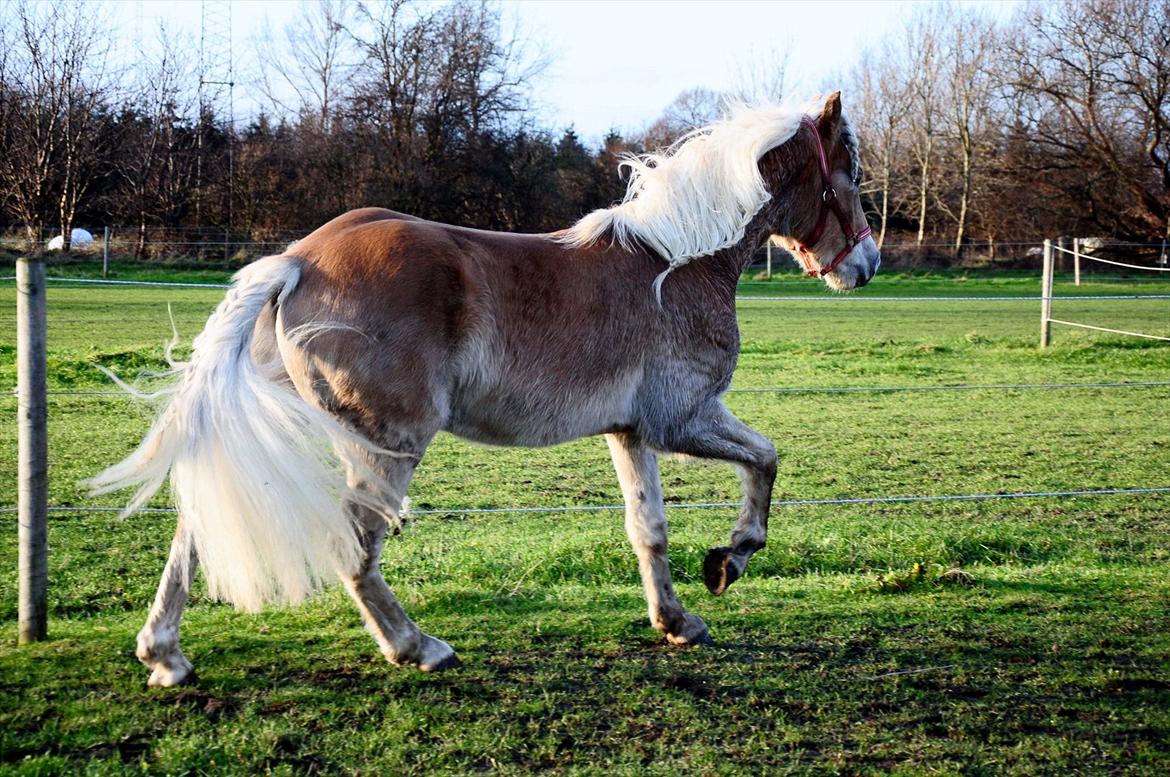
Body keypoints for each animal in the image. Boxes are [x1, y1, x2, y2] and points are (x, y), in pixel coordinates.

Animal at [91, 92, 879, 688]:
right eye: (850, 173)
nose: (866, 265)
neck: (675, 263)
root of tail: (296, 261)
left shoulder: (630, 432)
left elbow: (648, 528)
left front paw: (677, 620)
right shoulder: (683, 418)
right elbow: (766, 459)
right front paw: (731, 558)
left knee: (201, 528)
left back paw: (165, 656)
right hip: (388, 444)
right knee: (355, 545)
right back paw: (418, 647)